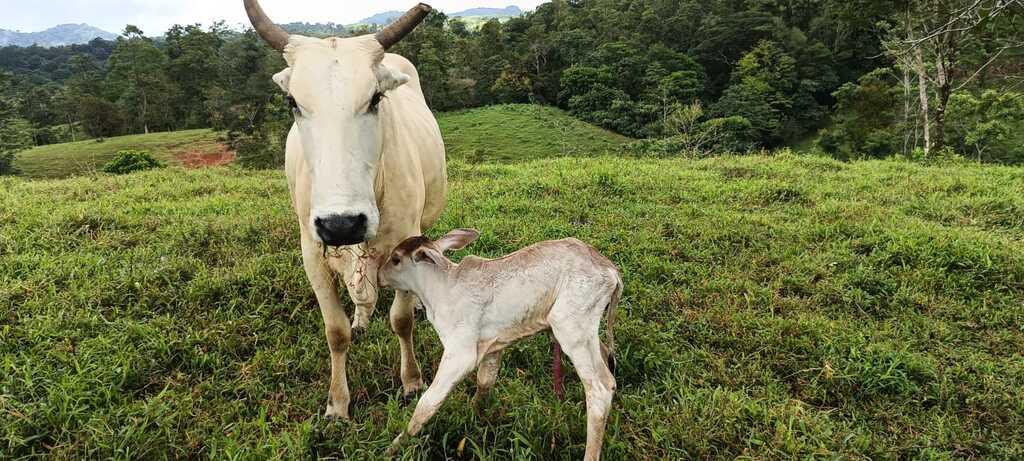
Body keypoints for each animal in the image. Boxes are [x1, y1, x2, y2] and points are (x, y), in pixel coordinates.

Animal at [244, 0, 448, 417]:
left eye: (375, 99)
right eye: (292, 102)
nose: (342, 224)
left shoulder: (406, 239)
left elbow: (401, 320)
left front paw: (411, 381)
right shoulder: (312, 251)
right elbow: (335, 332)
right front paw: (337, 402)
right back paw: (362, 319)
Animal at [378, 228, 622, 458]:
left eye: (396, 259)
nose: (379, 276)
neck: (441, 289)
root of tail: (611, 271)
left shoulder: (461, 353)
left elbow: (427, 403)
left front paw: (392, 447)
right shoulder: (494, 345)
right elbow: (485, 382)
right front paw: (475, 417)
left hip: (570, 328)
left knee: (600, 390)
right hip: (583, 333)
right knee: (607, 363)